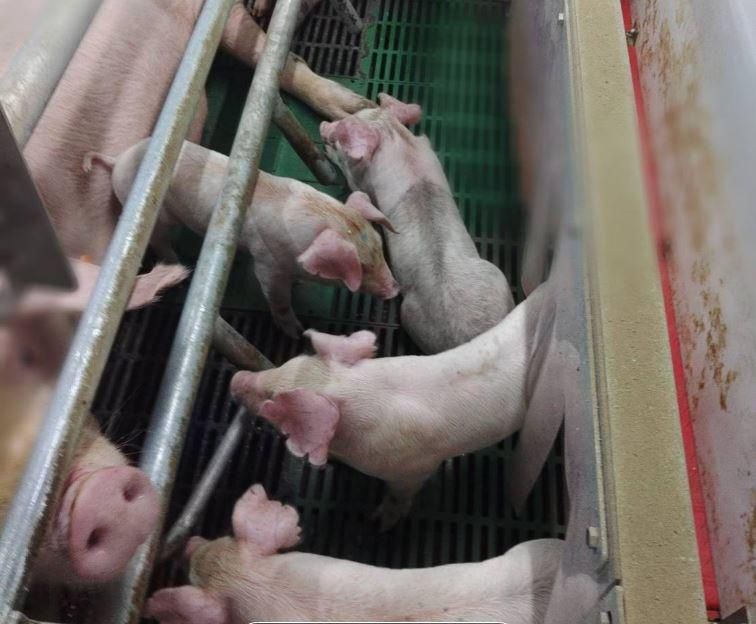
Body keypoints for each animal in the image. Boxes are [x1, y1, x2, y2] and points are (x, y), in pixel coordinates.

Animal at [83, 139, 399, 337]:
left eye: (379, 248)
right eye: (361, 267)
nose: (395, 290)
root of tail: (117, 161)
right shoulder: (267, 264)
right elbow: (278, 300)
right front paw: (297, 333)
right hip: (156, 221)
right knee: (162, 244)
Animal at [230, 282, 555, 529]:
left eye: (273, 402)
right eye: (288, 361)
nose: (235, 379)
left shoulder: (415, 469)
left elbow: (401, 495)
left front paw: (379, 522)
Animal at [320, 93, 515, 354]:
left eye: (339, 140)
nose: (323, 126)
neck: (396, 141)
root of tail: (470, 340)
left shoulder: (361, 183)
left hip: (410, 314)